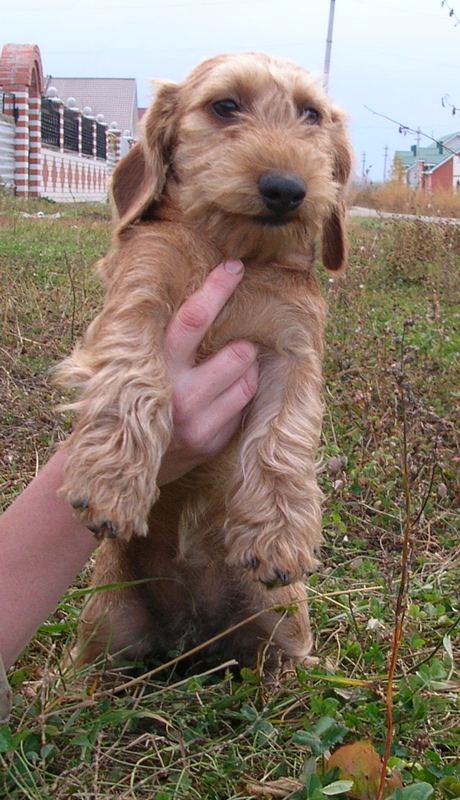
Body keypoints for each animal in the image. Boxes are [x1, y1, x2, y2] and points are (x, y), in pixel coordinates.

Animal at [57, 52, 352, 671]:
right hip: (107, 625)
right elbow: (132, 382)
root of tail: (192, 636)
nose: (287, 188)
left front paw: (278, 537)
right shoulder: (139, 296)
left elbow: (283, 438)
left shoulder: (293, 349)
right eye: (225, 105)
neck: (229, 249)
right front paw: (111, 482)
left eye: (311, 114)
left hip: (281, 624)